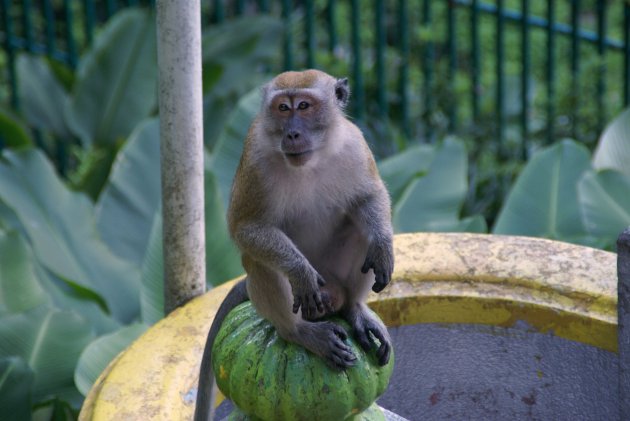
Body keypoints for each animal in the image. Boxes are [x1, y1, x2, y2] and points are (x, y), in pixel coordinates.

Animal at [196, 69, 396, 420]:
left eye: (304, 106)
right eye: (282, 108)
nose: (291, 134)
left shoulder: (355, 145)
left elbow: (368, 197)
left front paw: (384, 246)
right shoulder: (255, 159)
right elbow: (246, 226)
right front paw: (300, 272)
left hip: (334, 278)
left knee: (361, 232)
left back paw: (354, 309)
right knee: (259, 260)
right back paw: (299, 332)